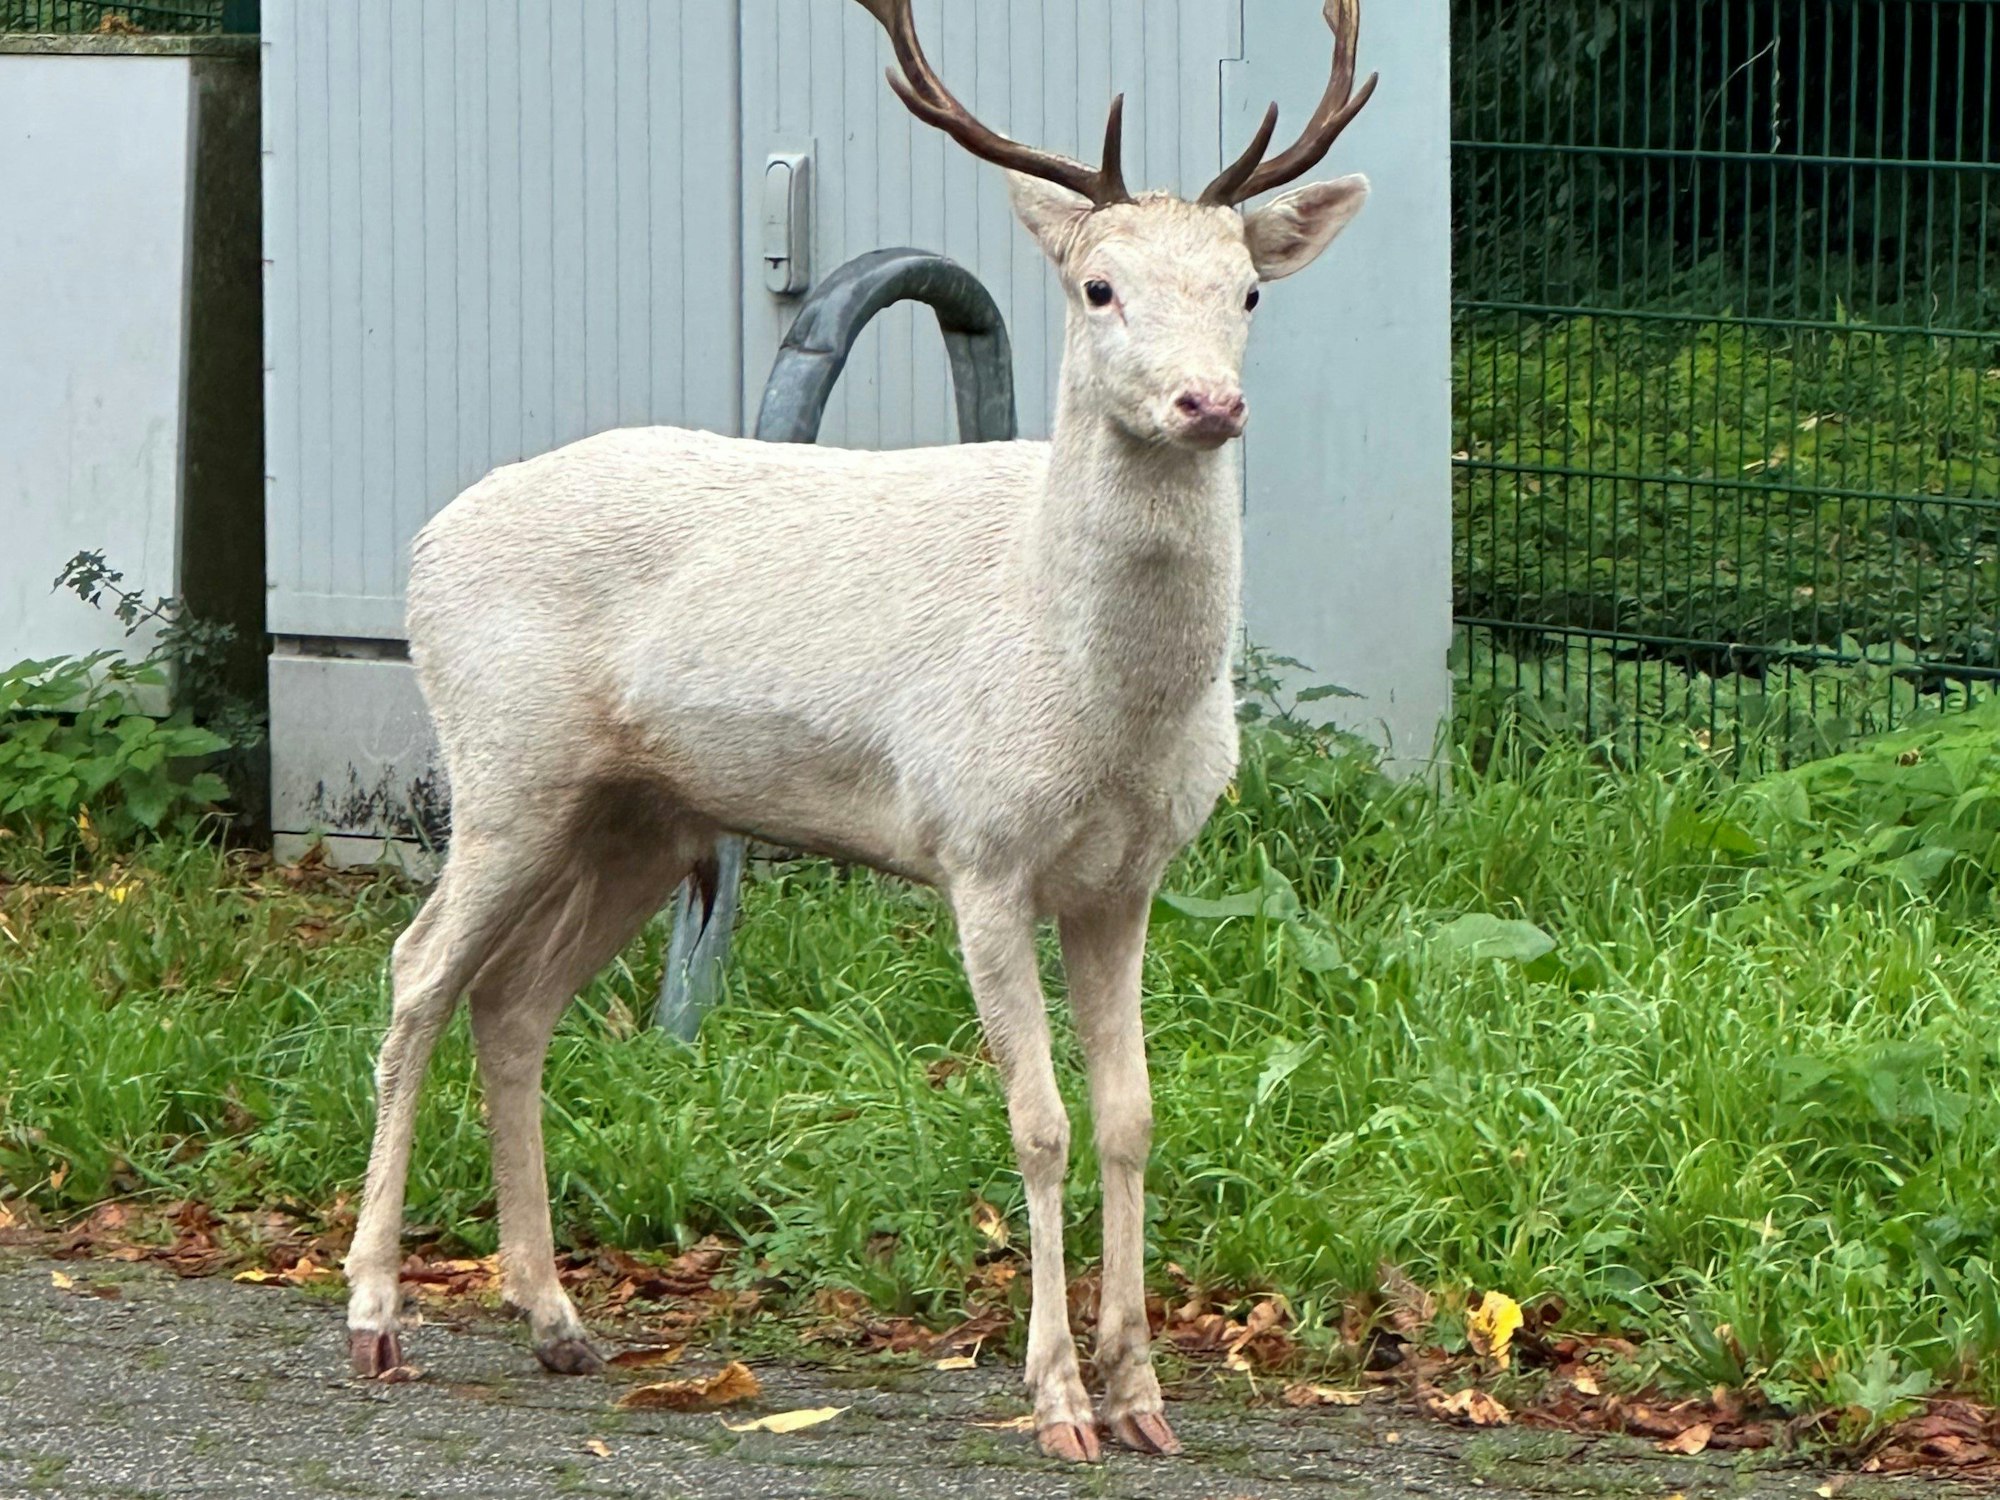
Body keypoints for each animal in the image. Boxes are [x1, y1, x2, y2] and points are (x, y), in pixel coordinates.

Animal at [342, 0, 1377, 1463]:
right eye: (1097, 287)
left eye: (1247, 291)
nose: (1207, 404)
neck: (1100, 708)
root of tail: (424, 546)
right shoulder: (979, 848)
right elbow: (1040, 1122)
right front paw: (1057, 1399)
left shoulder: (1128, 880)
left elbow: (1129, 1118)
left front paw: (1144, 1395)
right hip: (504, 762)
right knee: (419, 972)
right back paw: (375, 1314)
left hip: (636, 817)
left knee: (515, 1000)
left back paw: (555, 1319)